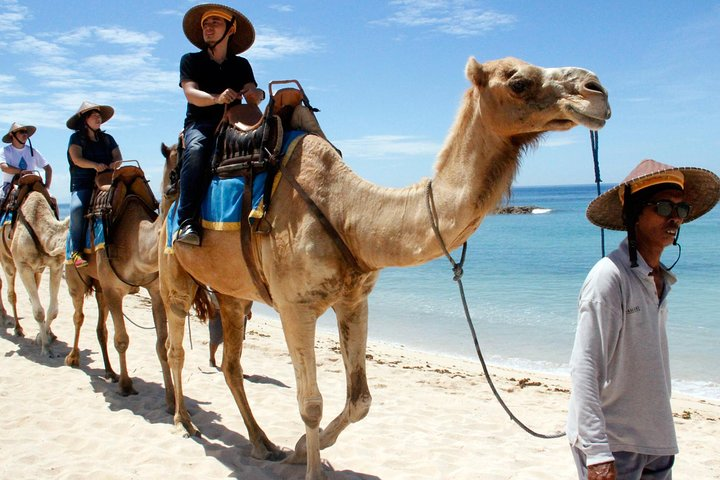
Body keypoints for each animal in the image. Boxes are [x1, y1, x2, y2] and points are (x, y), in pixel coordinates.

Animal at [0, 188, 68, 355]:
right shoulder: (23, 266)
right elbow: (38, 311)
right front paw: (46, 348)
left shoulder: (56, 265)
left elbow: (53, 310)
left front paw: (42, 337)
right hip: (7, 259)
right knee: (10, 292)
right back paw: (15, 327)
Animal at [64, 167, 175, 408]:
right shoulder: (114, 291)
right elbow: (122, 340)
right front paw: (126, 386)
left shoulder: (155, 291)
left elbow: (162, 344)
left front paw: (171, 400)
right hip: (75, 278)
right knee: (78, 316)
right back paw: (73, 358)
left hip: (100, 288)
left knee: (100, 328)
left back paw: (109, 372)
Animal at [158, 56, 611, 479]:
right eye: (518, 82)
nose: (596, 89)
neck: (348, 214)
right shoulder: (295, 308)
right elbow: (310, 404)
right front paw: (309, 464)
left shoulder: (354, 300)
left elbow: (360, 400)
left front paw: (297, 451)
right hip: (173, 272)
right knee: (175, 345)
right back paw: (184, 421)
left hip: (233, 292)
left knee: (232, 364)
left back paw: (260, 443)